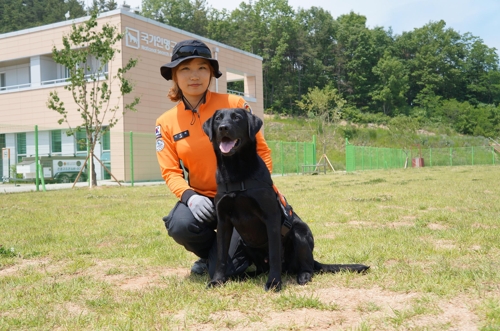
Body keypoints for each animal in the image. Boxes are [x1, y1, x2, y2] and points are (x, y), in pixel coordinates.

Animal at [201, 107, 370, 292]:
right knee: (262, 269)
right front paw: (217, 280)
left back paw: (303, 275)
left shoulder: (271, 217)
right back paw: (244, 276)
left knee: (306, 266)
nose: (223, 128)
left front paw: (274, 282)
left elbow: (275, 254)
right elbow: (221, 256)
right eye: (218, 118)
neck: (236, 173)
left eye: (237, 118)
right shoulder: (223, 221)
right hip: (247, 244)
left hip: (300, 232)